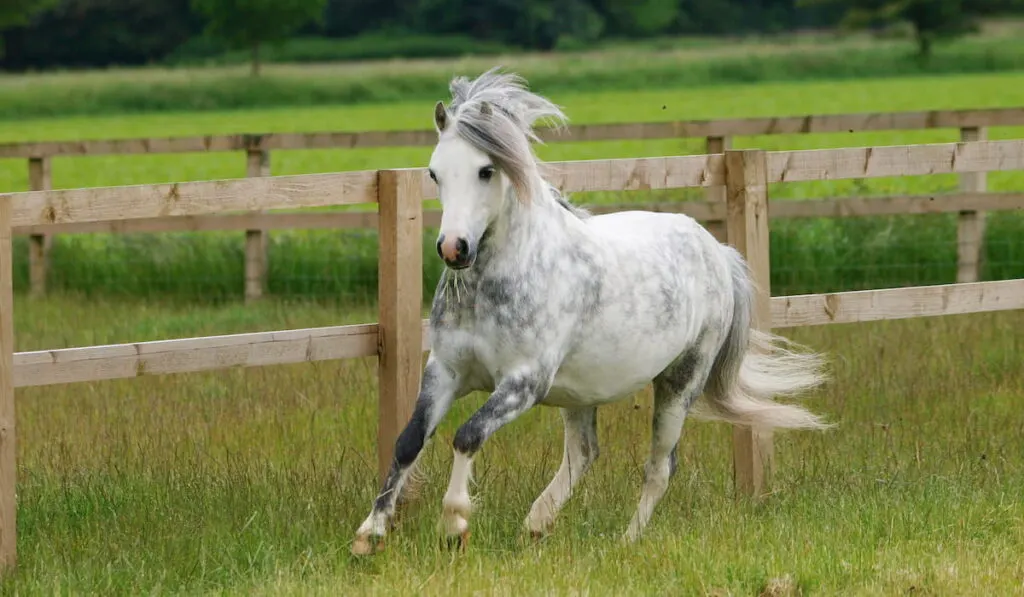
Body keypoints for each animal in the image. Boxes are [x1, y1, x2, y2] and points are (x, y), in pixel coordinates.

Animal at [352, 67, 831, 552]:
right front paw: (369, 533)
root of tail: (717, 249)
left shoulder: (524, 382)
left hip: (681, 381)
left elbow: (467, 435)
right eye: (434, 173)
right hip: (580, 391)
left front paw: (454, 523)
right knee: (584, 453)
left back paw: (625, 541)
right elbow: (409, 440)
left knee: (660, 467)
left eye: (486, 170)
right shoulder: (446, 370)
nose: (454, 248)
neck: (500, 282)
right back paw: (537, 523)